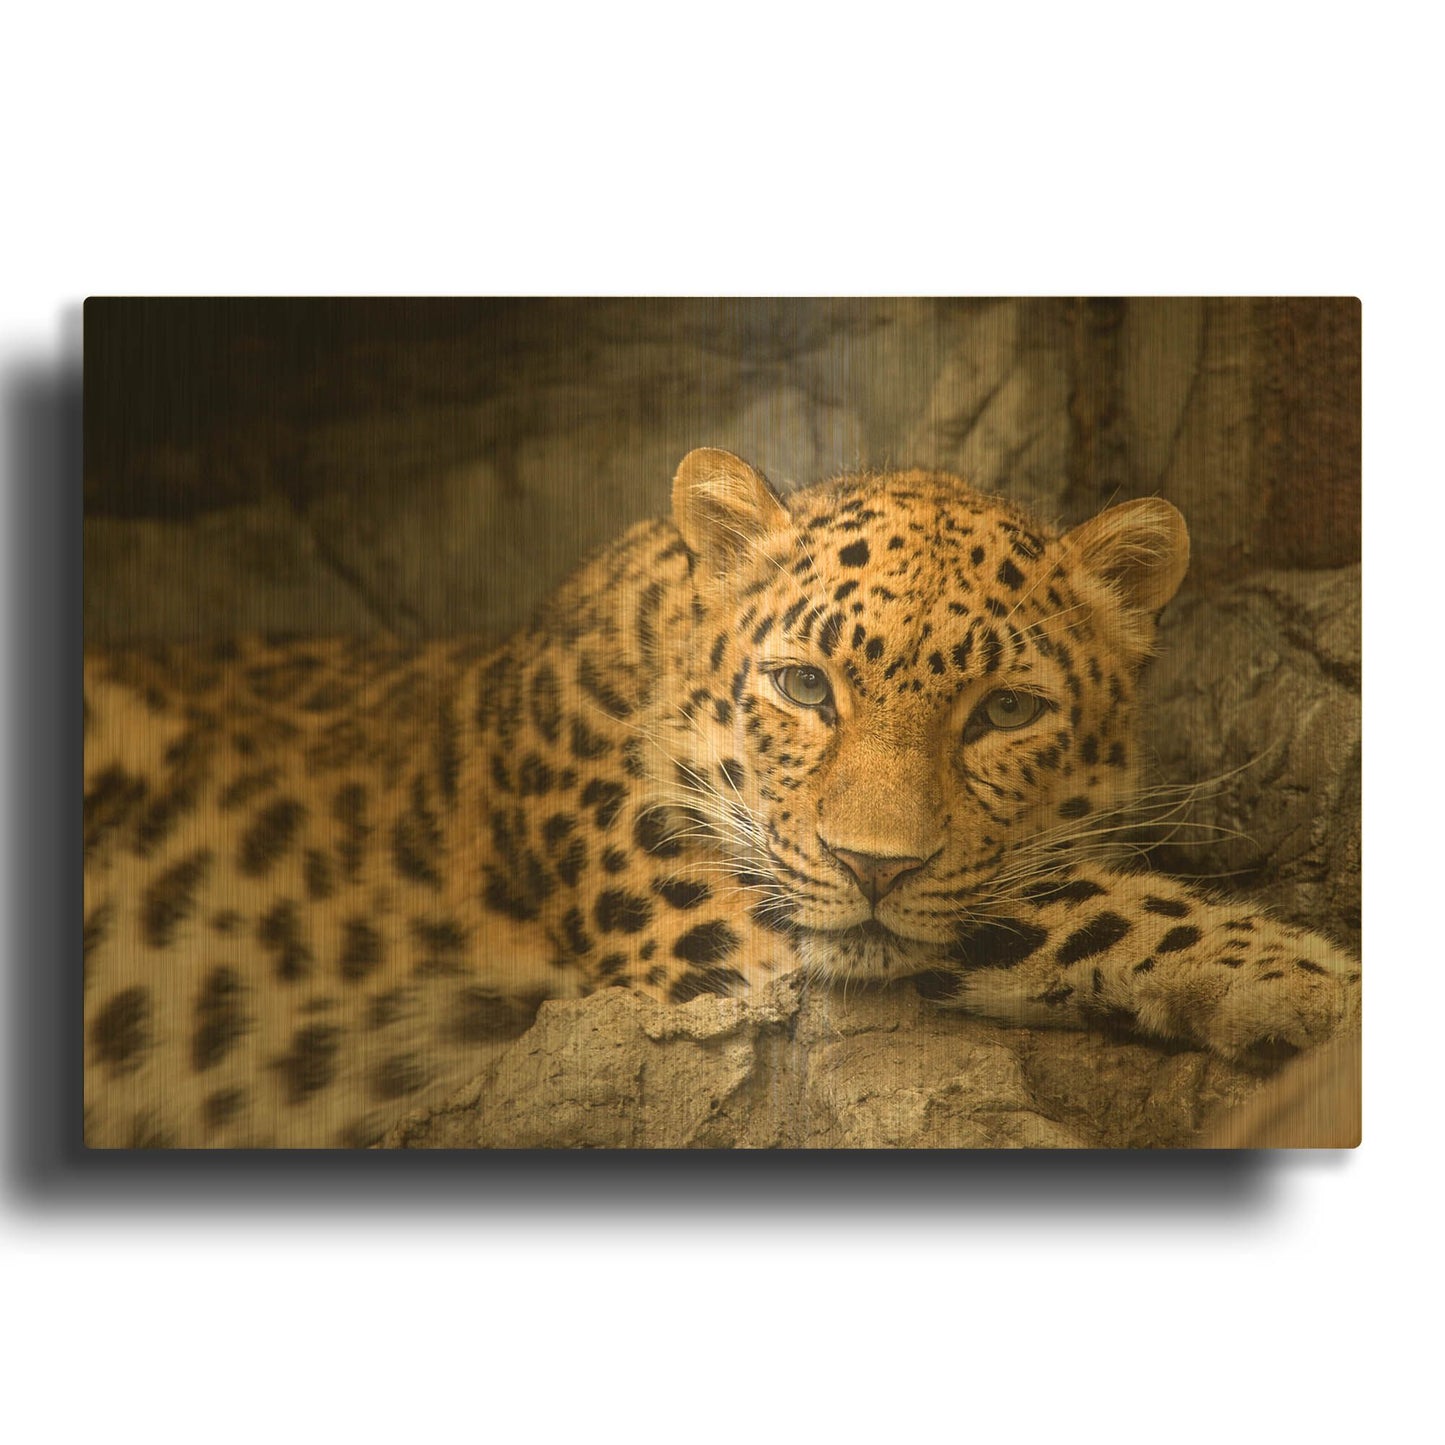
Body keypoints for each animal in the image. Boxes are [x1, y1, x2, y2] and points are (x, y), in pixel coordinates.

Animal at [82, 447, 1361, 1147]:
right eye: (802, 686)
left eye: (1004, 710)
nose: (874, 863)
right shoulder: (726, 933)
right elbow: (1081, 901)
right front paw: (1307, 981)